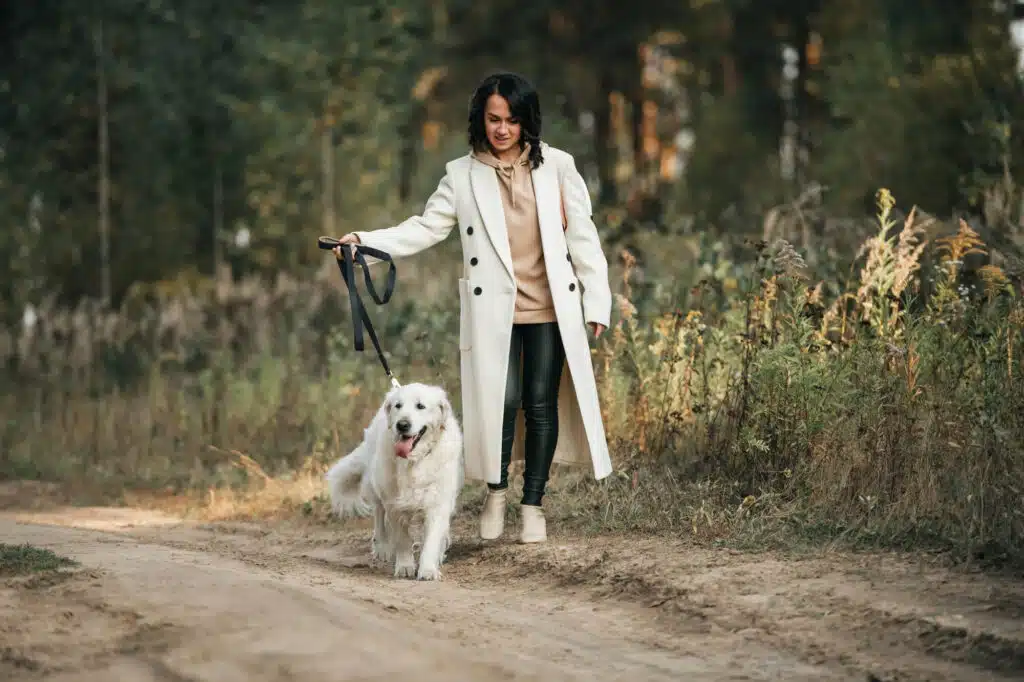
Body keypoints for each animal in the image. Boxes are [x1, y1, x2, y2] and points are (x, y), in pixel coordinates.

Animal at [325, 378, 462, 577]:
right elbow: (402, 539)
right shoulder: (394, 503)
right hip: (376, 486)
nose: (402, 424)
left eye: (420, 406)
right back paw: (382, 546)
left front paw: (428, 569)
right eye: (398, 406)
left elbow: (431, 538)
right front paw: (405, 566)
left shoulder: (437, 502)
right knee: (378, 514)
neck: (413, 461)